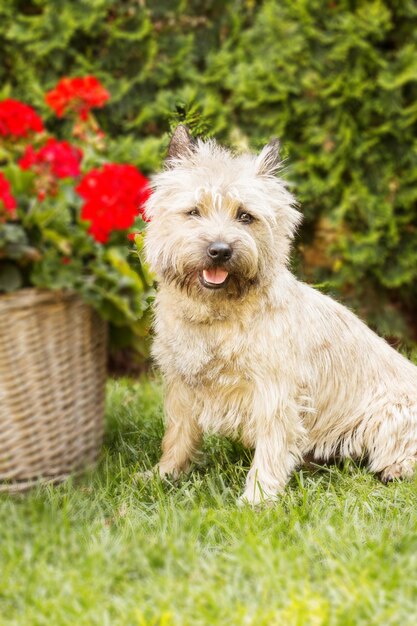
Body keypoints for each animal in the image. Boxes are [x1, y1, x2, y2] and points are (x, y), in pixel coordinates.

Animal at [143, 125, 416, 502]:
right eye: (194, 211)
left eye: (245, 215)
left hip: (391, 411)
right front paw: (164, 474)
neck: (217, 314)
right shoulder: (182, 384)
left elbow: (271, 446)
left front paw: (257, 498)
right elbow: (178, 433)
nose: (220, 250)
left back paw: (395, 469)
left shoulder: (274, 390)